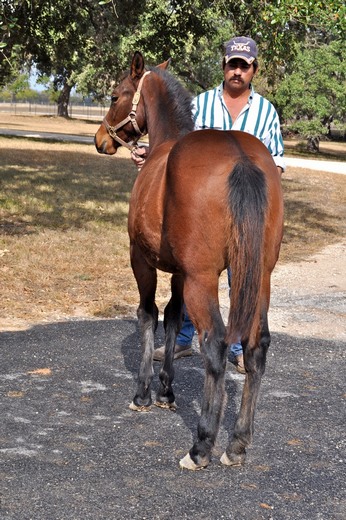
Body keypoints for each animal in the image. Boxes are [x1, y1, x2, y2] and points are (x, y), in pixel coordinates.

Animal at [95, 50, 284, 470]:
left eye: (116, 95)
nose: (101, 140)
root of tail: (241, 158)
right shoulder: (179, 272)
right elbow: (173, 317)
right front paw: (167, 390)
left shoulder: (142, 259)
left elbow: (149, 314)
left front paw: (145, 393)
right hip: (259, 277)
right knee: (256, 346)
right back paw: (237, 443)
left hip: (204, 279)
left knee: (214, 343)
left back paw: (202, 446)